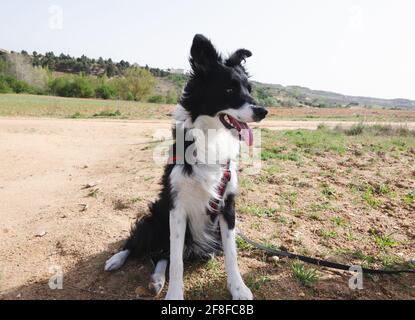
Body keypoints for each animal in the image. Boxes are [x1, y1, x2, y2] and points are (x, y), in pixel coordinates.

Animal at [105, 33, 270, 298]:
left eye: (249, 89)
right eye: (229, 89)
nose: (263, 111)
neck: (211, 136)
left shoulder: (227, 206)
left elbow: (231, 254)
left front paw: (238, 288)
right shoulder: (176, 208)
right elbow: (176, 261)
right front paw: (174, 294)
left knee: (161, 256)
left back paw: (157, 279)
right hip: (156, 218)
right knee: (144, 245)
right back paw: (118, 259)